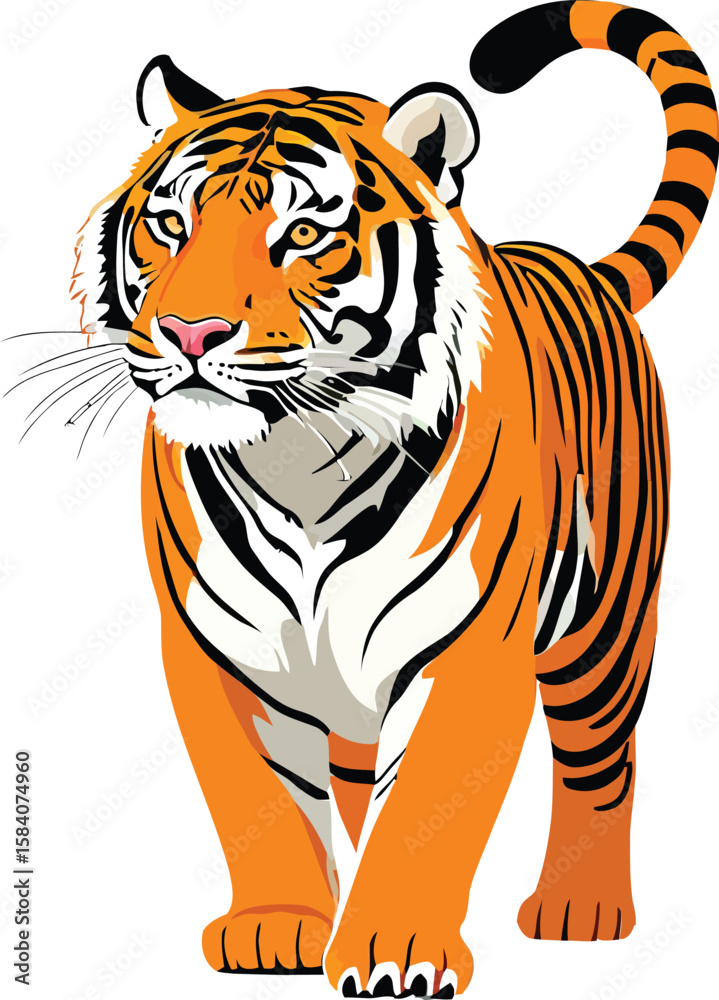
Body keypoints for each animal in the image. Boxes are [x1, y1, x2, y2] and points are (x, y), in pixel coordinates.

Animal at [60, 1, 717, 996]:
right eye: (170, 225)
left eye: (302, 236)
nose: (188, 332)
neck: (296, 455)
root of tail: (584, 267)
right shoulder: (216, 652)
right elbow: (258, 796)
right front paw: (280, 929)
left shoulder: (471, 646)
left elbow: (429, 804)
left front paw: (395, 948)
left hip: (600, 631)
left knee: (602, 763)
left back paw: (583, 911)